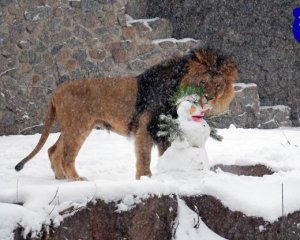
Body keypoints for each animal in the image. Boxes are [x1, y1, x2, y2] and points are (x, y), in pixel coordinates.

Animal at [15, 48, 238, 180]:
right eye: (203, 82)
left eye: (218, 85)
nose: (209, 98)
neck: (175, 90)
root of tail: (56, 91)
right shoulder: (145, 127)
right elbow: (144, 156)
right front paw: (145, 178)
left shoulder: (164, 131)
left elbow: (165, 154)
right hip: (79, 126)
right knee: (67, 155)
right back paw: (76, 179)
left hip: (73, 127)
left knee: (53, 149)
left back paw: (60, 177)